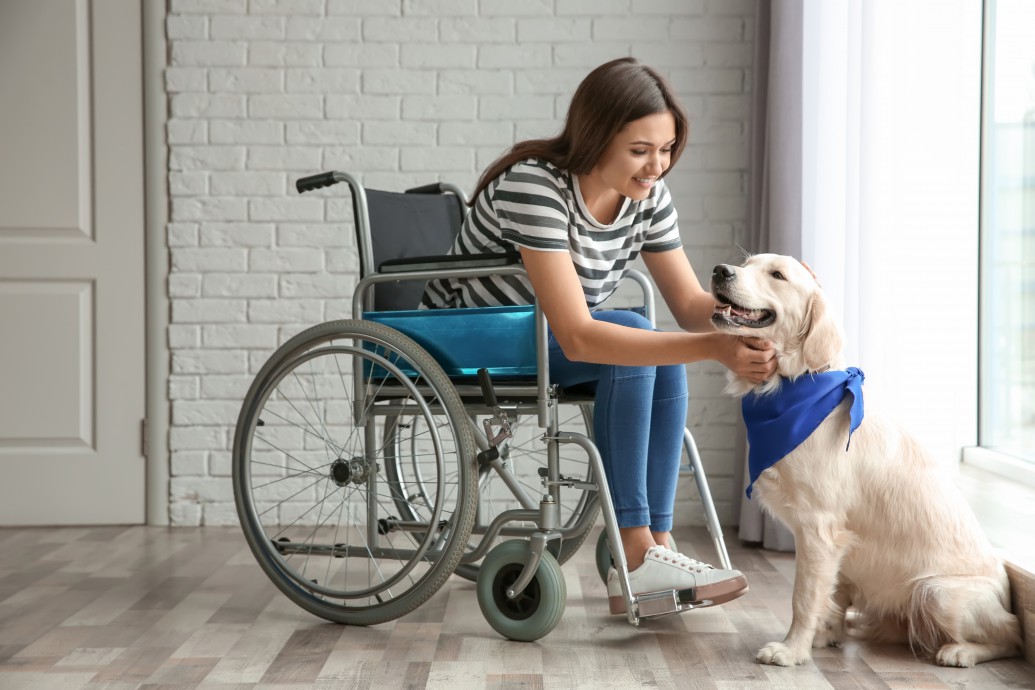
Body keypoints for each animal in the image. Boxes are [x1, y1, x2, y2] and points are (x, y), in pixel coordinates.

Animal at [712, 255, 1018, 670]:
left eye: (777, 275)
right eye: (746, 263)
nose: (720, 270)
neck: (796, 386)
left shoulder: (819, 528)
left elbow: (804, 597)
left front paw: (792, 650)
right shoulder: (838, 542)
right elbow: (832, 596)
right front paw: (823, 637)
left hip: (935, 591)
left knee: (1013, 634)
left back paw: (961, 651)